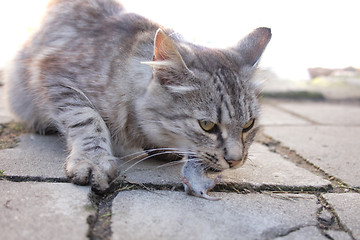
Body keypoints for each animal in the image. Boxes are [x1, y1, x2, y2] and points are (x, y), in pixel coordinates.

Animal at [4, 0, 270, 200]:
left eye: (248, 125)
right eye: (207, 125)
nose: (235, 161)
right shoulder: (56, 74)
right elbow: (88, 121)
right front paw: (93, 160)